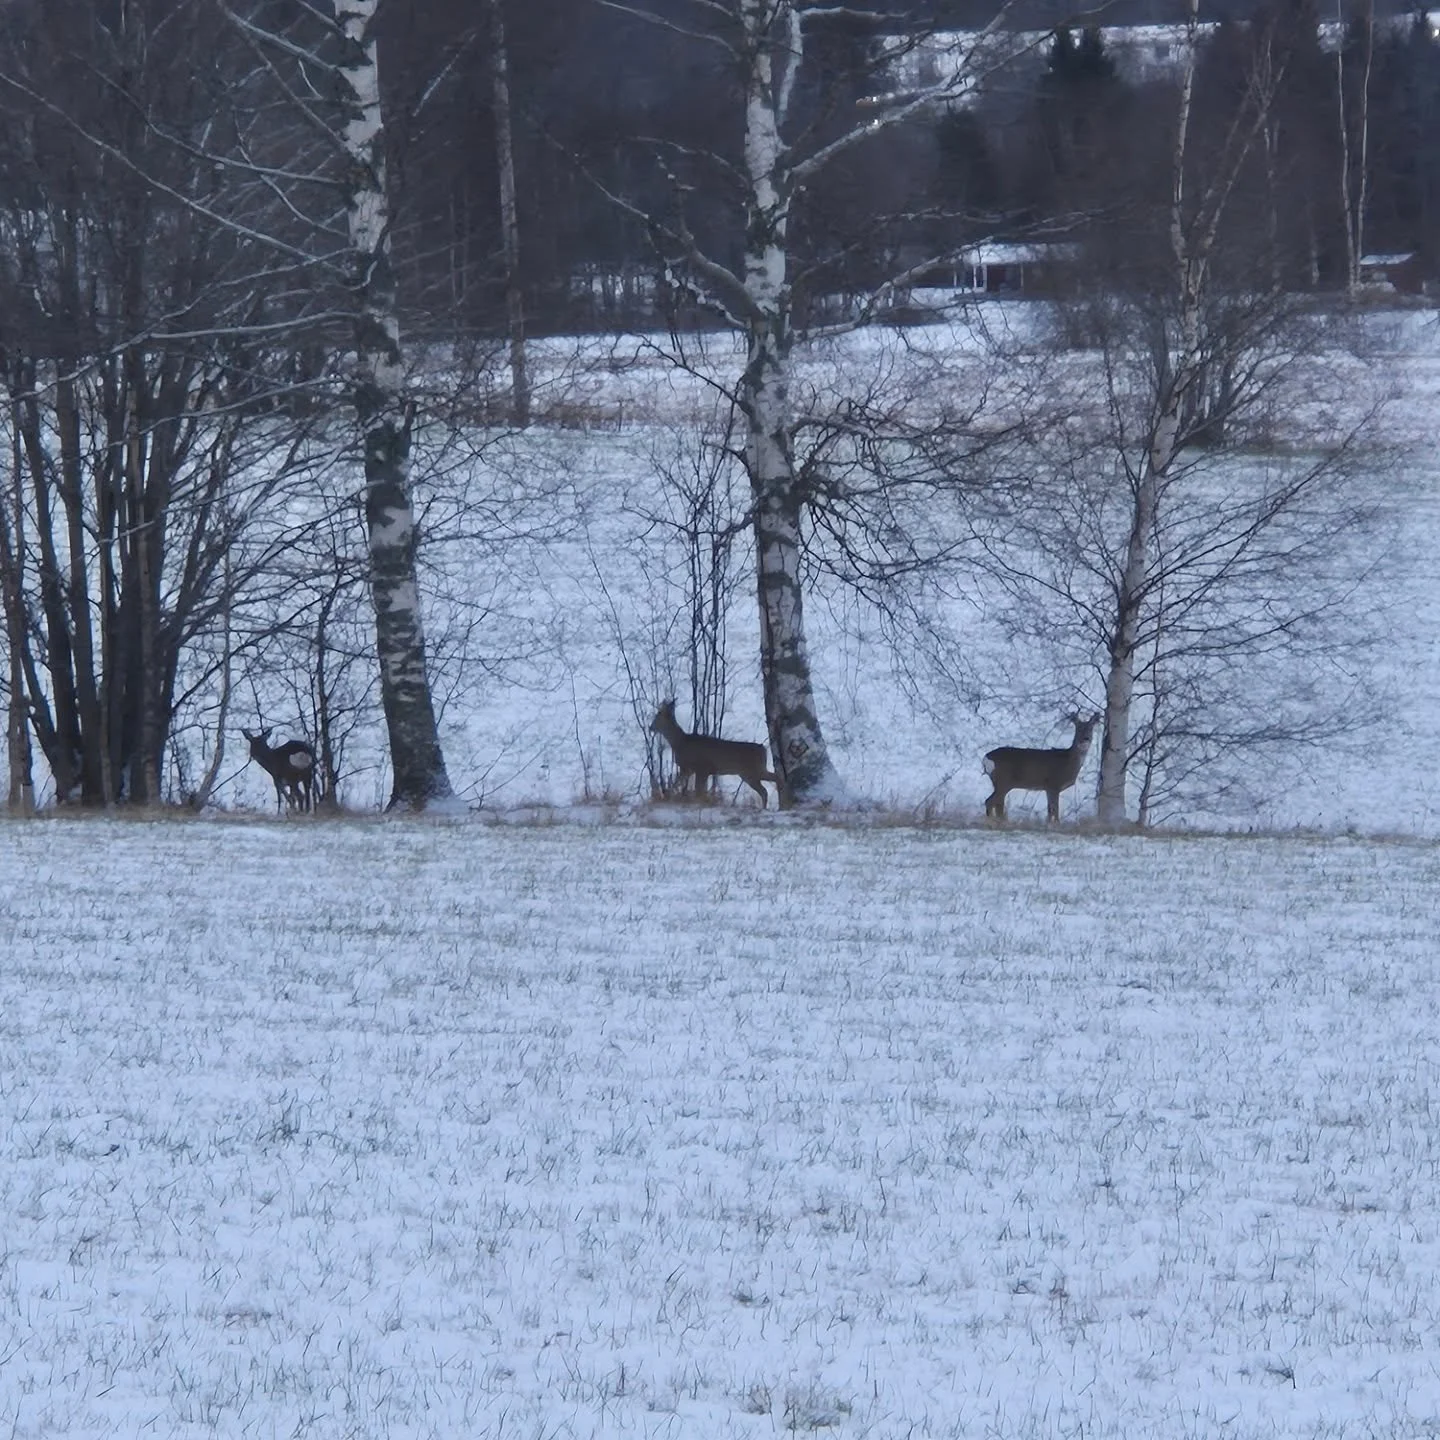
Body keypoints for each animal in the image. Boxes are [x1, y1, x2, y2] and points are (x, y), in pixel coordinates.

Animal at [650, 699, 778, 808]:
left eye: (658, 715)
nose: (650, 727)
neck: (679, 742)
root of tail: (763, 748)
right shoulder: (691, 769)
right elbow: (684, 786)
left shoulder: (699, 767)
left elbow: (697, 790)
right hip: (753, 772)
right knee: (769, 785)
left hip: (752, 772)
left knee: (766, 789)